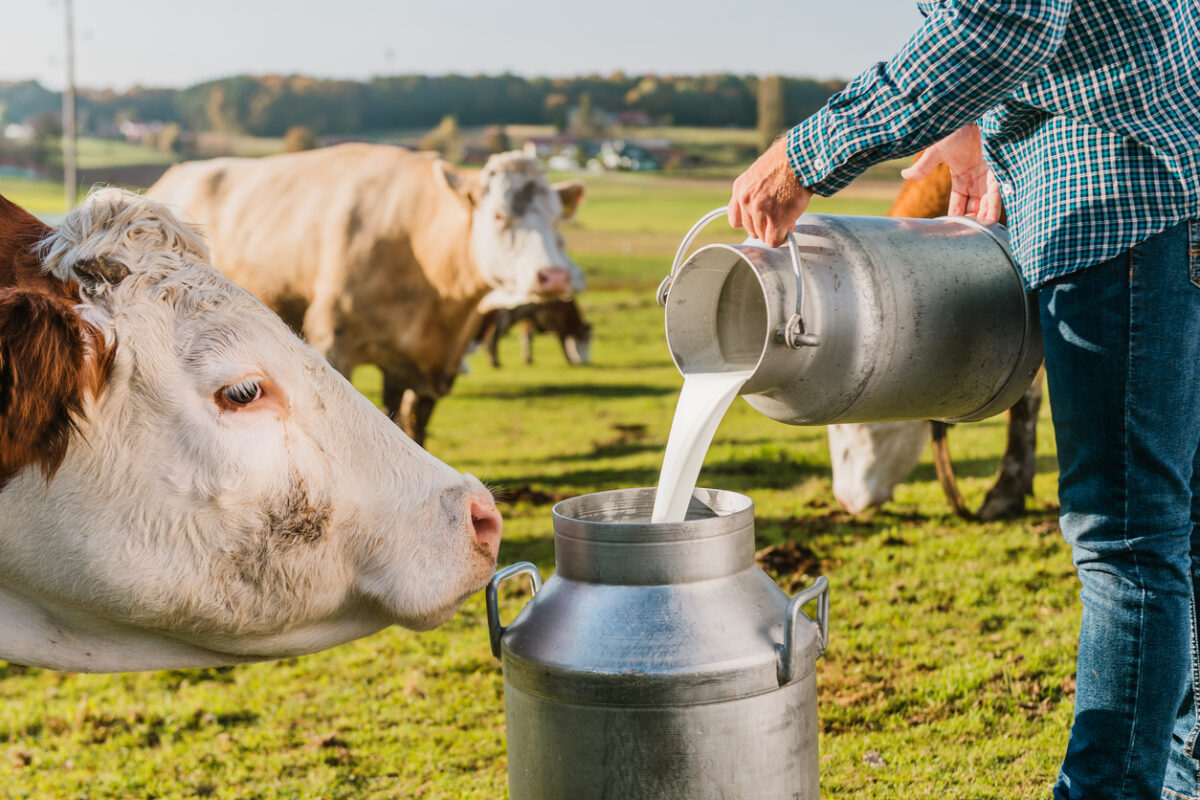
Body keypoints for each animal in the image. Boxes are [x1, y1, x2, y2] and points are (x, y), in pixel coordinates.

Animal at [147, 143, 588, 443]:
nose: (554, 276)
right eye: (499, 216)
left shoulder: (416, 366)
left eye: (557, 219)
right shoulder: (332, 344)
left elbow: (410, 425)